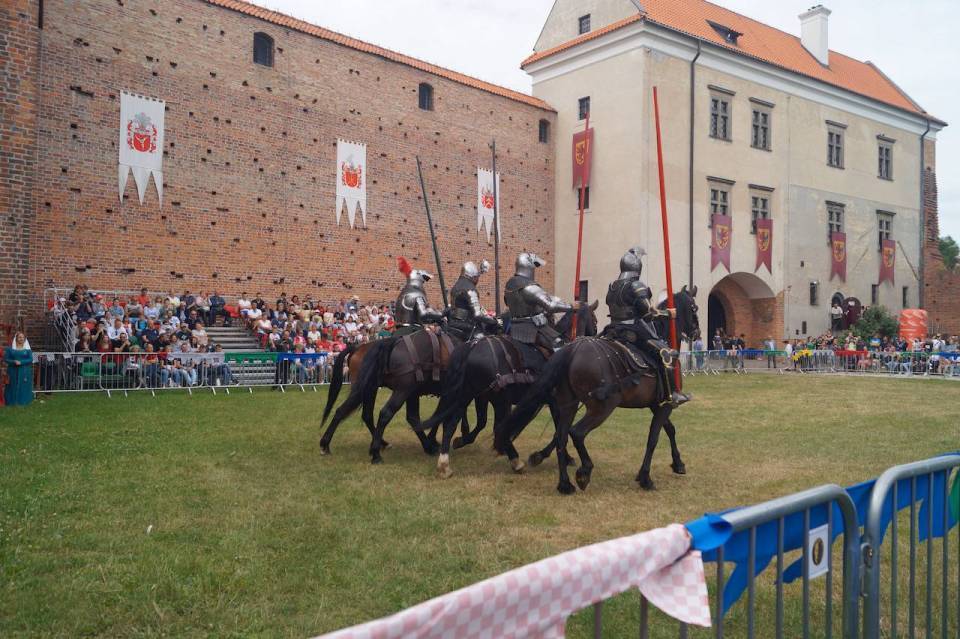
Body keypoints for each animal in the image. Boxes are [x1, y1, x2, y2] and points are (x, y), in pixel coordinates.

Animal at [318, 330, 480, 464]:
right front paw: (460, 438)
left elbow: (438, 416)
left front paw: (434, 441)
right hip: (399, 391)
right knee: (385, 414)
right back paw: (376, 453)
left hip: (368, 390)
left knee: (348, 411)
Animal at [416, 304, 596, 480]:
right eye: (594, 320)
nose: (595, 336)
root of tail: (471, 347)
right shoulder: (556, 402)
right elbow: (559, 430)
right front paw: (544, 456)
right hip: (497, 399)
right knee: (495, 426)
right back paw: (515, 461)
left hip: (467, 395)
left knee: (450, 424)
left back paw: (444, 464)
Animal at [498, 288, 700, 498]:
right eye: (694, 308)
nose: (697, 332)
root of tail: (572, 350)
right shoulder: (665, 404)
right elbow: (654, 438)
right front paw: (646, 477)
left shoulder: (657, 404)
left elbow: (669, 430)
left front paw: (678, 463)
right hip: (601, 408)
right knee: (576, 432)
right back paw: (583, 473)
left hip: (569, 404)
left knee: (562, 436)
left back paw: (565, 484)